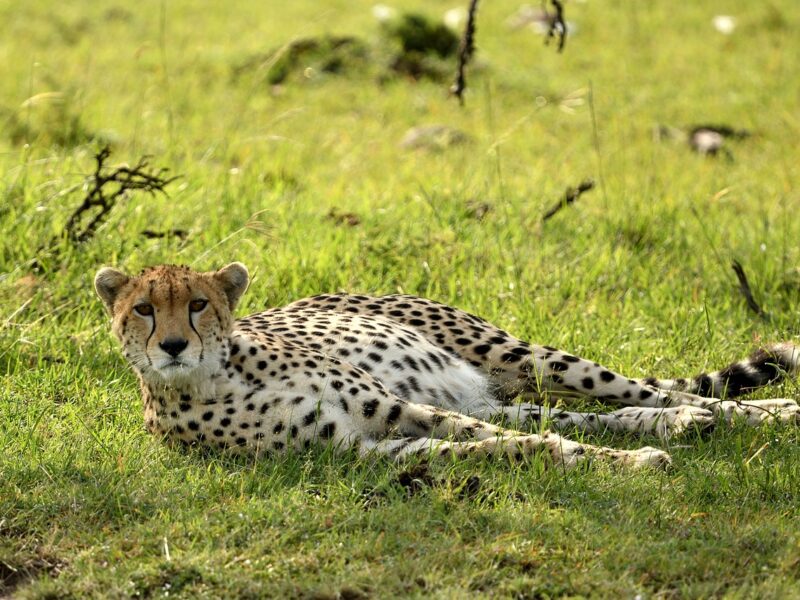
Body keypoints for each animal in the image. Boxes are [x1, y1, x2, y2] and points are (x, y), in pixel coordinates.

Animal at [94, 262, 800, 470]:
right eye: (143, 311)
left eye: (197, 304)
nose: (173, 346)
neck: (219, 372)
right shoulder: (356, 446)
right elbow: (504, 444)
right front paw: (607, 459)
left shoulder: (391, 405)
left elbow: (492, 438)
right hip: (493, 391)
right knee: (589, 413)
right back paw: (685, 425)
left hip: (518, 354)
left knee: (654, 390)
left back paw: (762, 413)